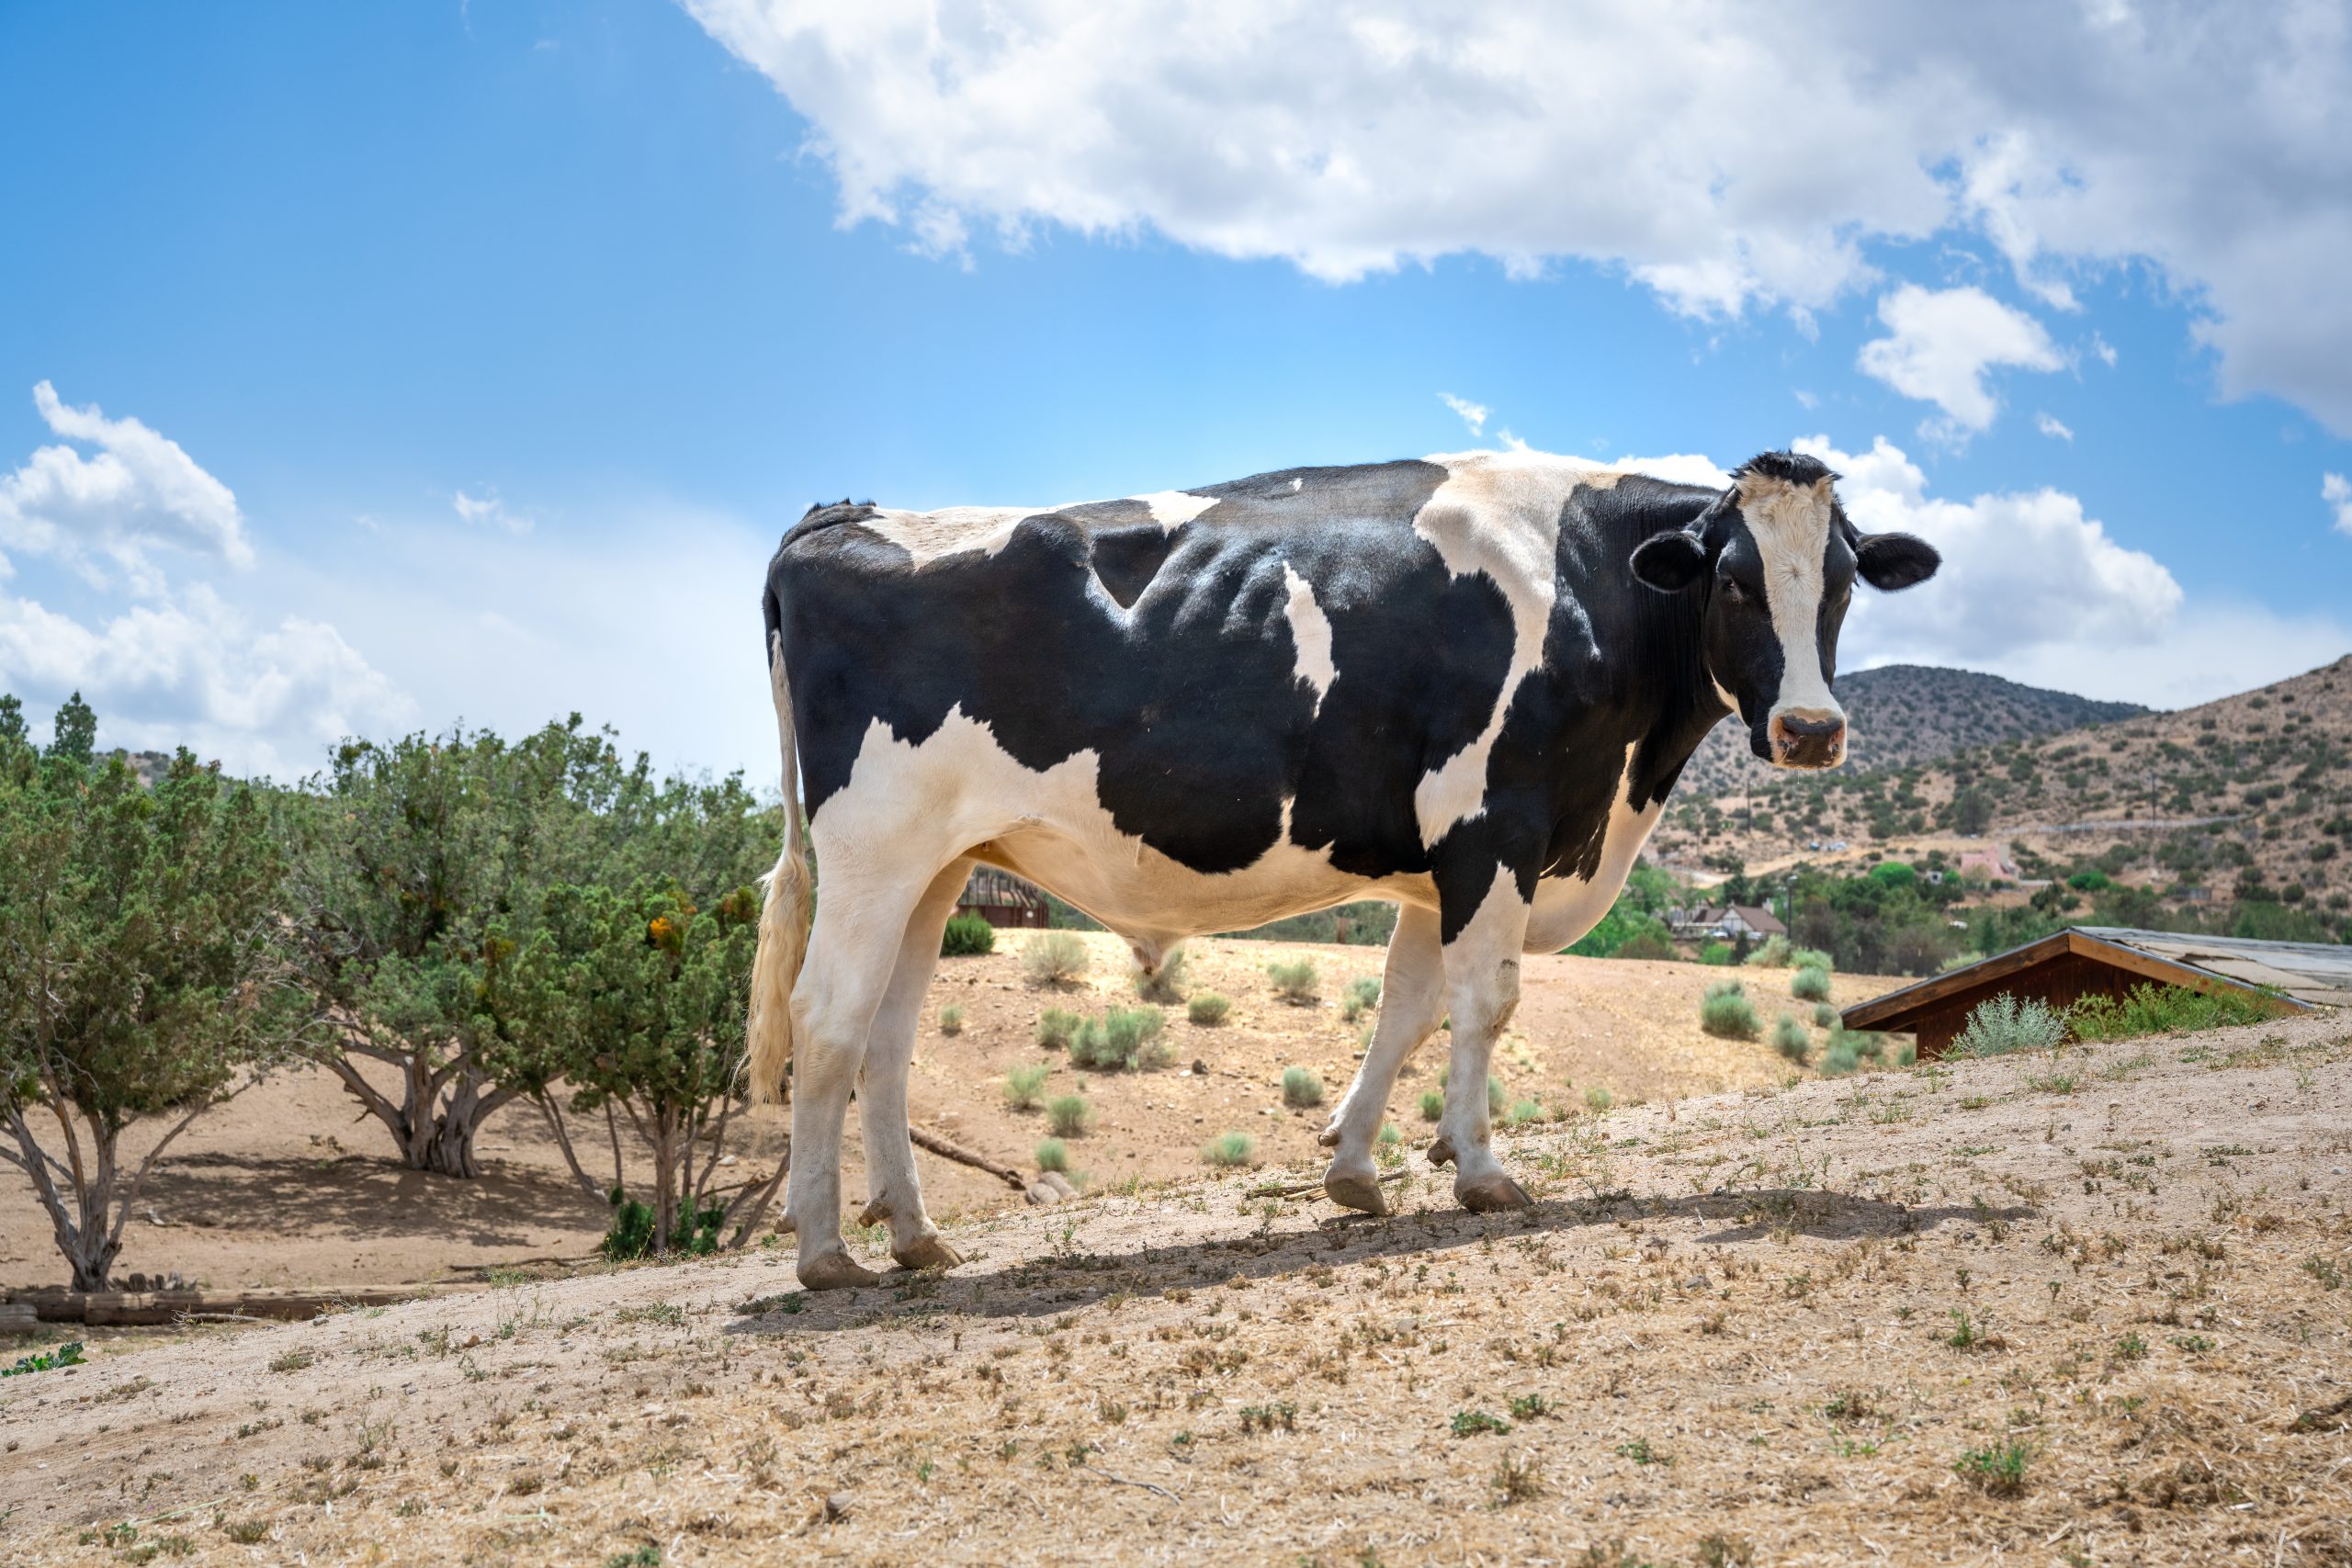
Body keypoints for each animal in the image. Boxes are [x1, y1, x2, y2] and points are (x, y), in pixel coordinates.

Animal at [748, 444, 1928, 1288]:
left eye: (1840, 584)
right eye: (1732, 581)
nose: (1811, 730)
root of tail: (838, 516)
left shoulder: (1439, 862)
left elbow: (1403, 1008)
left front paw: (1356, 1169)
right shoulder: (1494, 825)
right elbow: (1485, 1002)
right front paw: (1481, 1171)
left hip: (937, 866)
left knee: (888, 1039)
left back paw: (914, 1236)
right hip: (873, 848)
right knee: (828, 1018)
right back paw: (826, 1253)